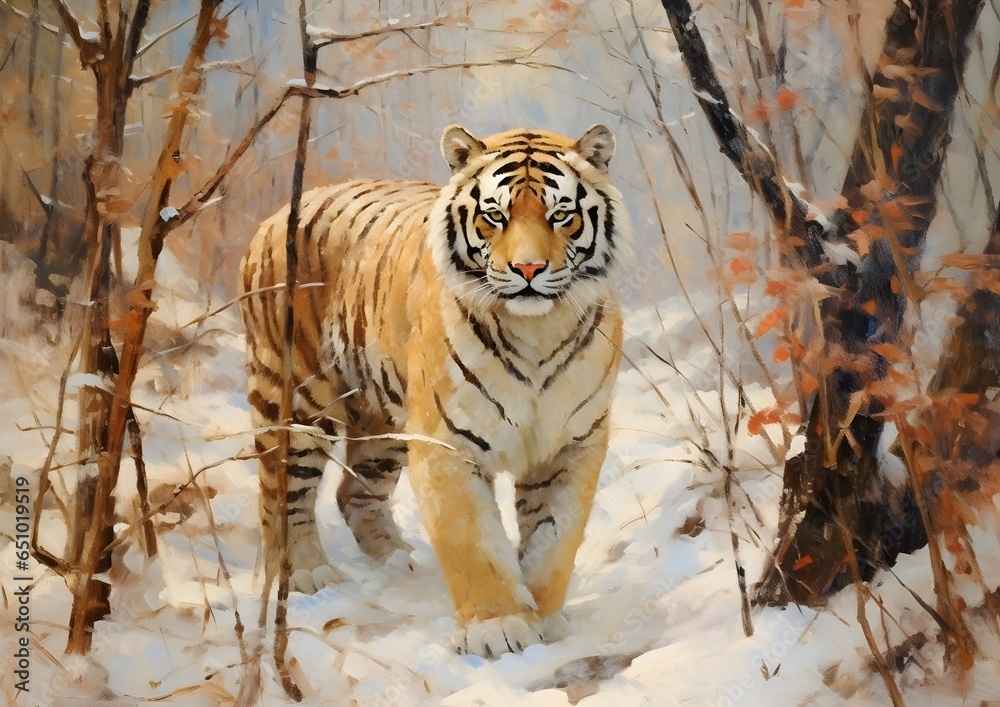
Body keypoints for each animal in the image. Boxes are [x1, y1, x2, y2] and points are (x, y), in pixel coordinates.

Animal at [239, 124, 632, 658]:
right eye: (495, 215)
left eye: (561, 215)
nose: (529, 270)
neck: (537, 331)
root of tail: (279, 212)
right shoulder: (448, 443)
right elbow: (472, 539)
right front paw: (498, 628)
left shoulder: (572, 445)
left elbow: (554, 541)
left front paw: (545, 620)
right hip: (296, 398)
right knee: (282, 493)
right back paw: (307, 576)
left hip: (384, 426)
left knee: (352, 492)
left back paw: (397, 562)